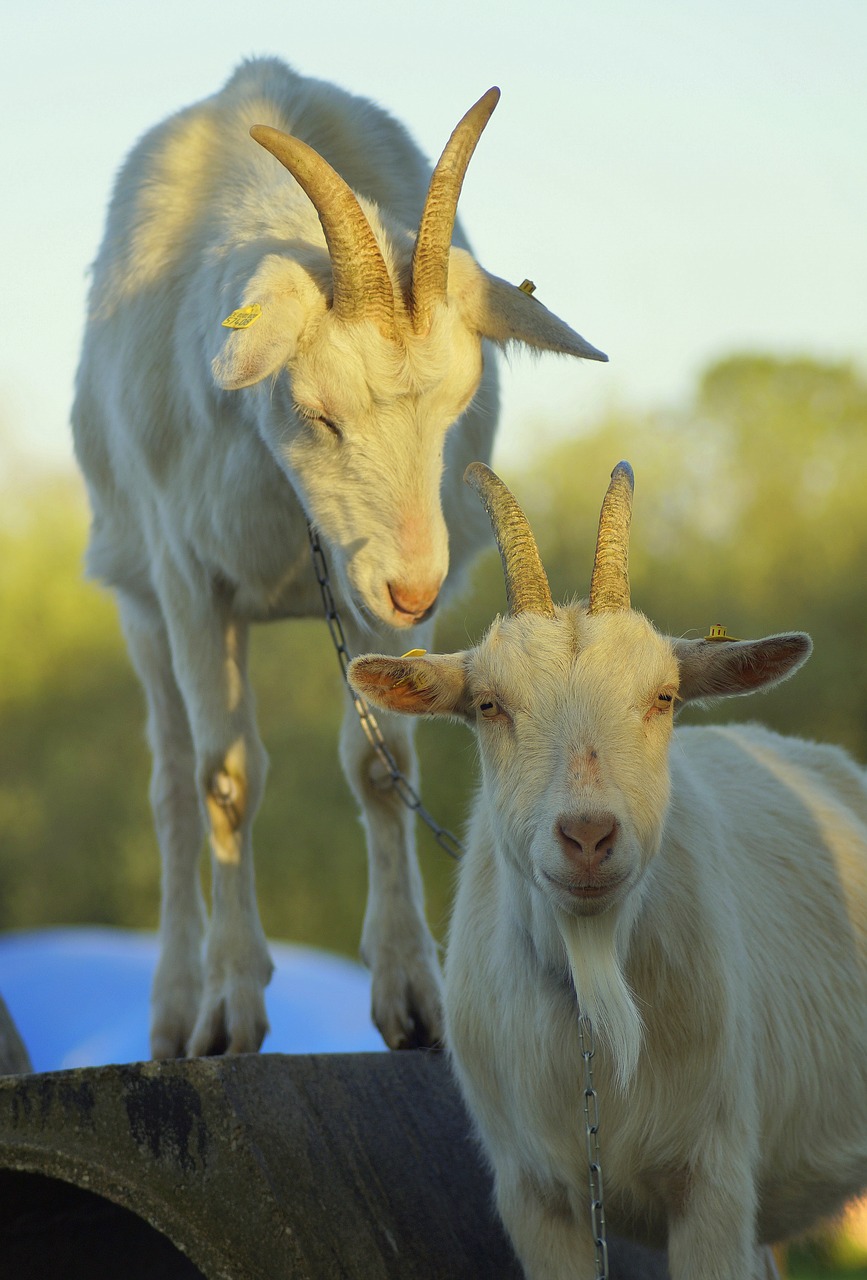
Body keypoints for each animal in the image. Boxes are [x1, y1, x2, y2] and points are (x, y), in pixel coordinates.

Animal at [71, 60, 604, 1054]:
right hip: (135, 595)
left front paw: (412, 997)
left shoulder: (368, 590)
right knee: (170, 786)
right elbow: (225, 777)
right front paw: (230, 1009)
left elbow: (380, 766)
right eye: (318, 413)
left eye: (457, 405)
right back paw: (174, 1009)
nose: (416, 586)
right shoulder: (189, 578)